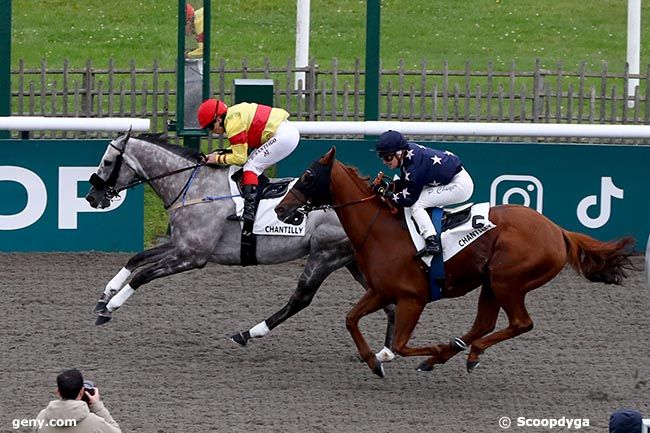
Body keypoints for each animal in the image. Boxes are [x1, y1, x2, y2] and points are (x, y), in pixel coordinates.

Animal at [86, 130, 394, 360]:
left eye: (107, 162)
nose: (91, 197)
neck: (193, 187)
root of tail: (370, 203)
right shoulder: (181, 246)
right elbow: (137, 259)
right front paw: (105, 295)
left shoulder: (193, 256)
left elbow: (143, 275)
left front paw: (111, 306)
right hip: (354, 260)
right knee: (386, 299)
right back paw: (385, 352)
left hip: (326, 255)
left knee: (300, 299)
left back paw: (247, 333)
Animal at [274, 147, 632, 376]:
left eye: (307, 177)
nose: (280, 208)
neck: (380, 229)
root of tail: (557, 230)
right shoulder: (380, 291)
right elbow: (350, 319)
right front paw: (374, 362)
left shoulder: (412, 298)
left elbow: (401, 345)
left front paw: (422, 351)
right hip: (491, 283)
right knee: (484, 324)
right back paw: (451, 352)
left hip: (507, 280)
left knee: (520, 323)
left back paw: (462, 353)